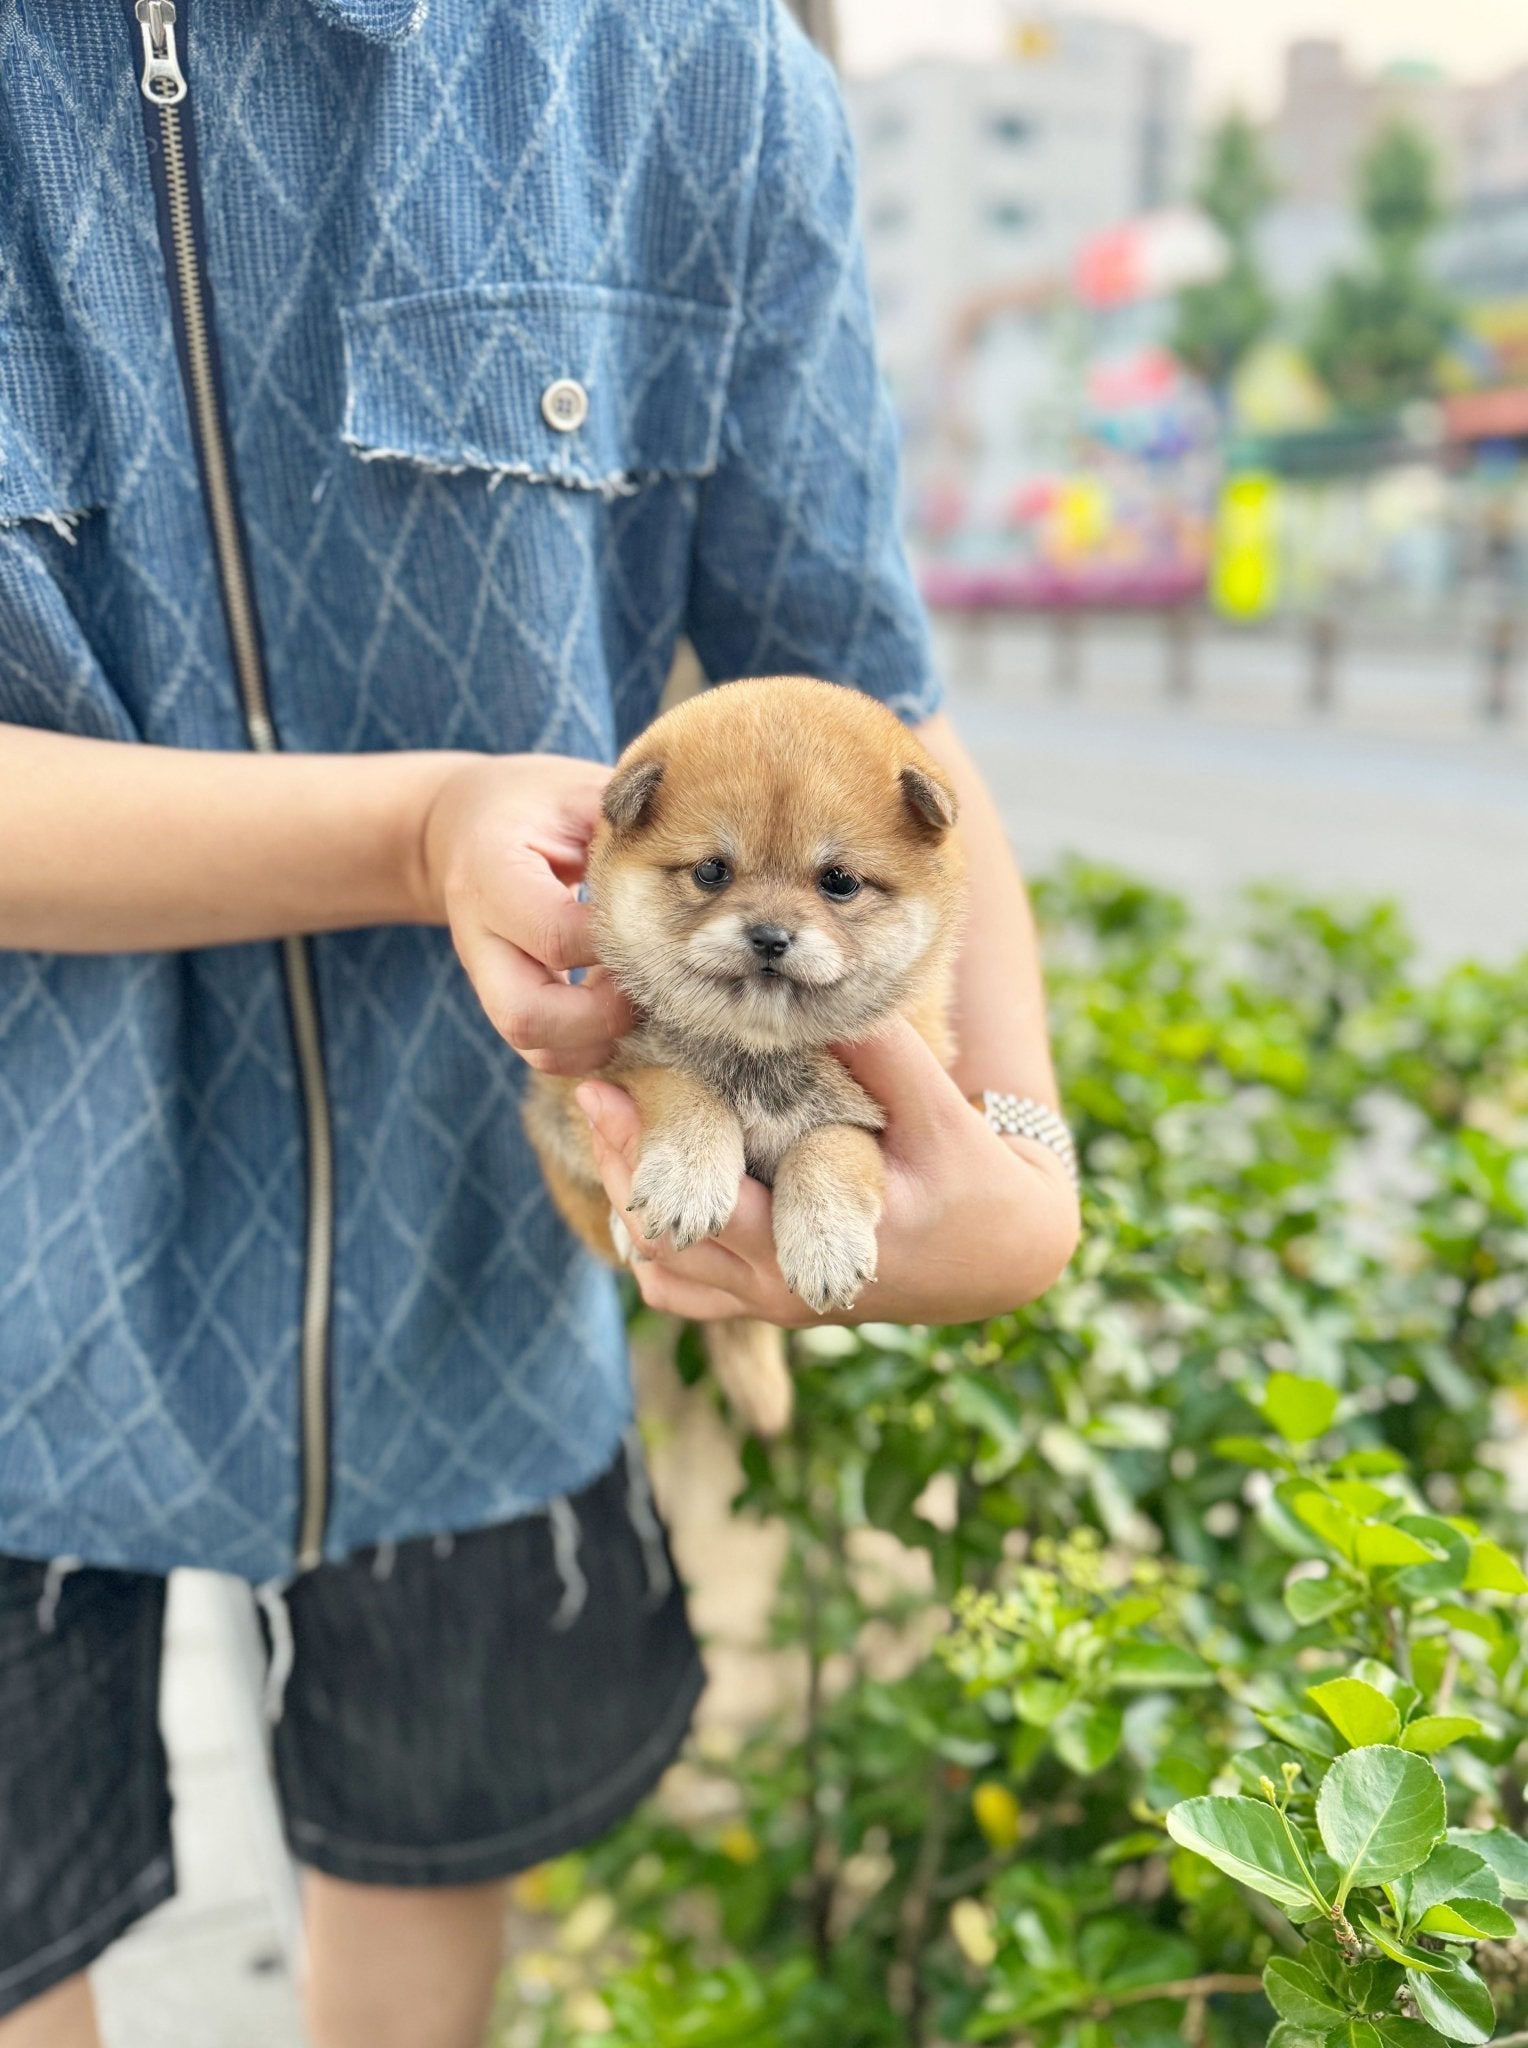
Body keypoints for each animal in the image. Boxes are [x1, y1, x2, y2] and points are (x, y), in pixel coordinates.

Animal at [518, 679, 958, 1433]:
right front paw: (688, 1179)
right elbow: (687, 1094)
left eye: (838, 881)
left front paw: (826, 1242)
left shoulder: (877, 1118)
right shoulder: (619, 1068)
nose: (770, 935)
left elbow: (830, 1148)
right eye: (712, 871)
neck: (760, 1053)